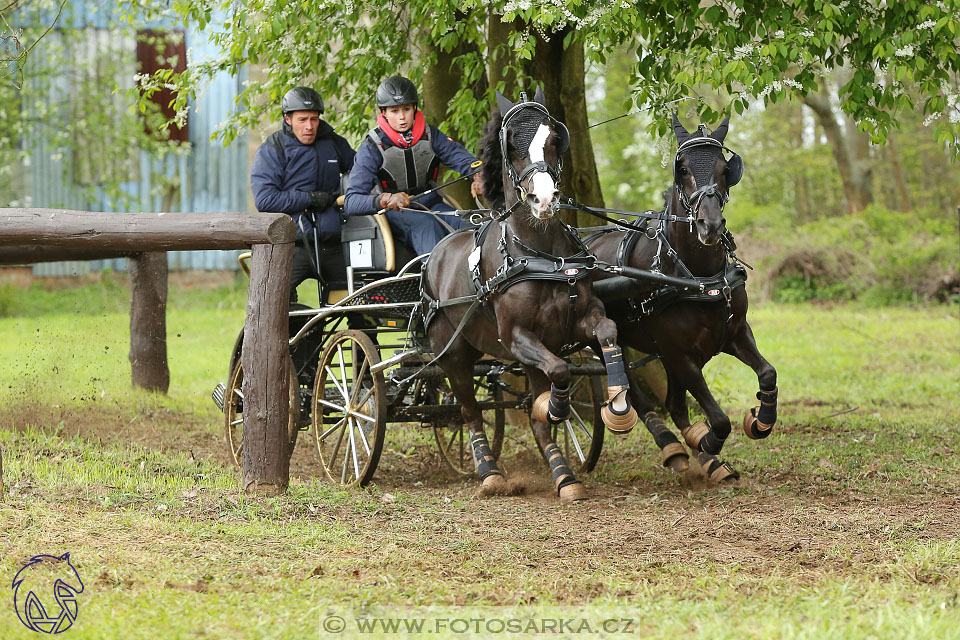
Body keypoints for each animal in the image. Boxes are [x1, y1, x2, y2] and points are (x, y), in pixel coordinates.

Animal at [422, 89, 632, 500]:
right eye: (512, 145)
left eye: (552, 140)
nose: (544, 199)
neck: (540, 254)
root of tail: (434, 255)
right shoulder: (517, 337)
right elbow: (560, 370)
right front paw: (551, 407)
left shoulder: (576, 322)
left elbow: (608, 332)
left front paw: (617, 404)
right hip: (454, 355)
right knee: (469, 412)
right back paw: (490, 472)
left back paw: (564, 475)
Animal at [584, 115, 780, 482]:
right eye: (683, 169)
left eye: (724, 168)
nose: (709, 225)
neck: (694, 275)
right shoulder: (678, 353)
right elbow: (719, 419)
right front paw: (706, 444)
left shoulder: (734, 333)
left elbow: (768, 373)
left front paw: (760, 421)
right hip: (602, 340)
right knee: (636, 394)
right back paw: (671, 445)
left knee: (673, 403)